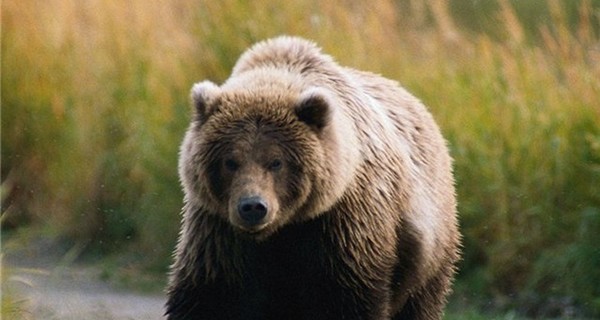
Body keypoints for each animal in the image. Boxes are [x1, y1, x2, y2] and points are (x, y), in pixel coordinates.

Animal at [166, 36, 462, 318]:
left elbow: (349, 299)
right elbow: (211, 295)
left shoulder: (342, 225)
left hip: (428, 248)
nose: (253, 207)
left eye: (276, 162)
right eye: (230, 161)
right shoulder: (218, 232)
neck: (283, 229)